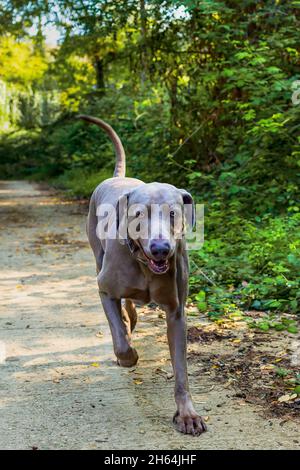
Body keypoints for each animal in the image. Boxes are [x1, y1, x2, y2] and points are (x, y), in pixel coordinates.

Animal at [78, 114, 207, 436]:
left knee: (131, 306)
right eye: (139, 214)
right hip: (97, 254)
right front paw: (128, 355)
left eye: (173, 213)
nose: (161, 249)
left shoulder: (176, 311)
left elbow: (181, 370)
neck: (145, 265)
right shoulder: (104, 289)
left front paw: (187, 414)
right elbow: (121, 341)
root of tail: (116, 177)